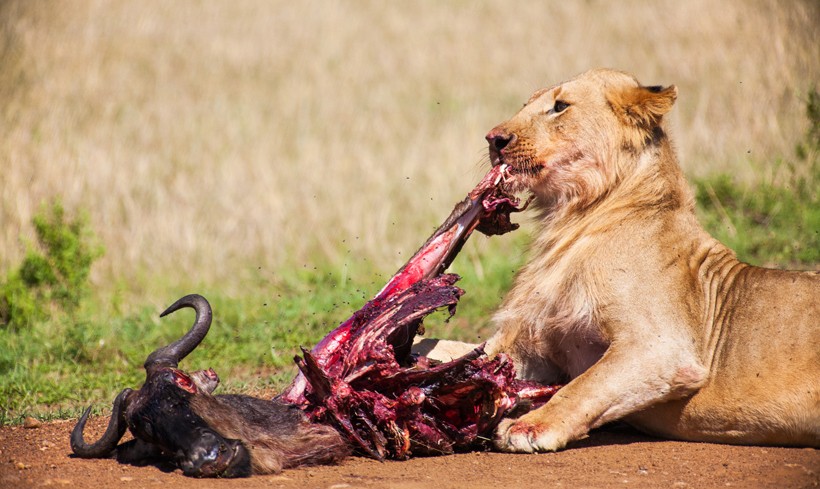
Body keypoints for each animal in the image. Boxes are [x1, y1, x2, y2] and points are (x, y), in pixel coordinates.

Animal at [420, 67, 816, 450]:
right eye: (525, 105)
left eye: (560, 106)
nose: (494, 139)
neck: (571, 218)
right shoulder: (536, 348)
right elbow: (459, 355)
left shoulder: (666, 349)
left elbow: (584, 386)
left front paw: (529, 426)